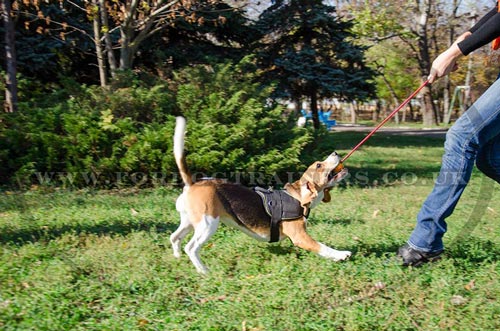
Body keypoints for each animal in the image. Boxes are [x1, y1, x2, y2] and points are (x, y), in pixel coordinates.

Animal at [170, 116, 350, 274]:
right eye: (319, 165)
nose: (335, 153)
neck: (299, 197)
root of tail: (193, 183)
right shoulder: (300, 237)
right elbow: (323, 247)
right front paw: (341, 254)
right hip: (208, 224)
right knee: (191, 247)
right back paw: (204, 271)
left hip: (190, 222)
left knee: (174, 237)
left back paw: (177, 257)